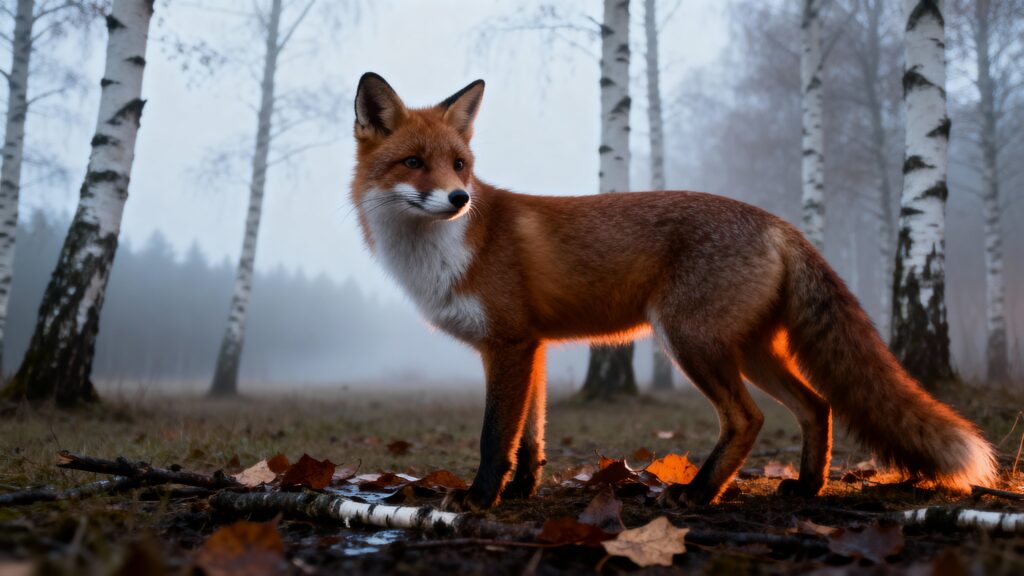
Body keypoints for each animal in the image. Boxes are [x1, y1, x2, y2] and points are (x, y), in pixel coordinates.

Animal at [349, 72, 997, 511]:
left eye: (459, 165)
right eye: (414, 162)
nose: (460, 198)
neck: (448, 248)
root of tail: (778, 222)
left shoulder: (509, 345)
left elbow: (494, 438)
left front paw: (480, 499)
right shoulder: (530, 348)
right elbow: (529, 439)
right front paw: (520, 494)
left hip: (691, 342)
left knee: (748, 419)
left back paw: (700, 494)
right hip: (752, 351)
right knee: (818, 405)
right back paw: (807, 487)